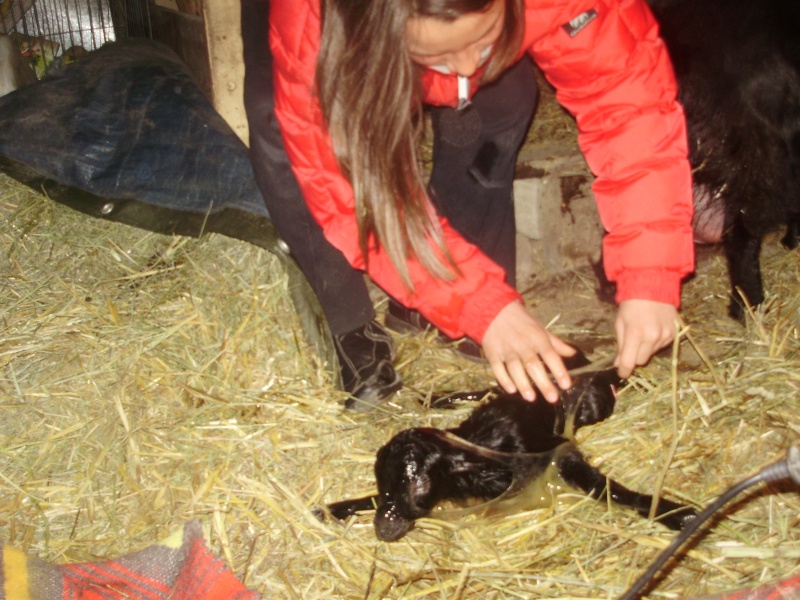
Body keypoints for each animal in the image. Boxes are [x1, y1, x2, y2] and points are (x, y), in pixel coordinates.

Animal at [322, 352, 696, 544]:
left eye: (420, 489)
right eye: (383, 483)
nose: (383, 530)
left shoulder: (555, 452)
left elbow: (600, 484)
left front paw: (675, 513)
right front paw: (331, 508)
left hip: (592, 404)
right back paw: (437, 398)